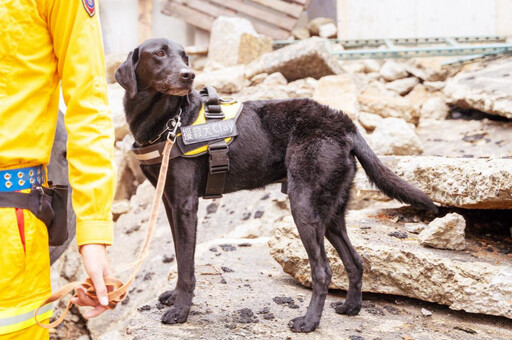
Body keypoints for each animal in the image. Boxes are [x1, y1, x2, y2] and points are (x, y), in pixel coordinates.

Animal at [115, 38, 436, 334]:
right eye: (159, 53)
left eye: (185, 57)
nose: (188, 75)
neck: (172, 120)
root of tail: (345, 125)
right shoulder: (170, 204)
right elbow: (181, 258)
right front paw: (175, 298)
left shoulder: (185, 205)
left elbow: (186, 265)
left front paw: (181, 310)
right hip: (330, 211)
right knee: (355, 261)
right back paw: (350, 307)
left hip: (304, 205)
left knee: (323, 270)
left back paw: (309, 322)